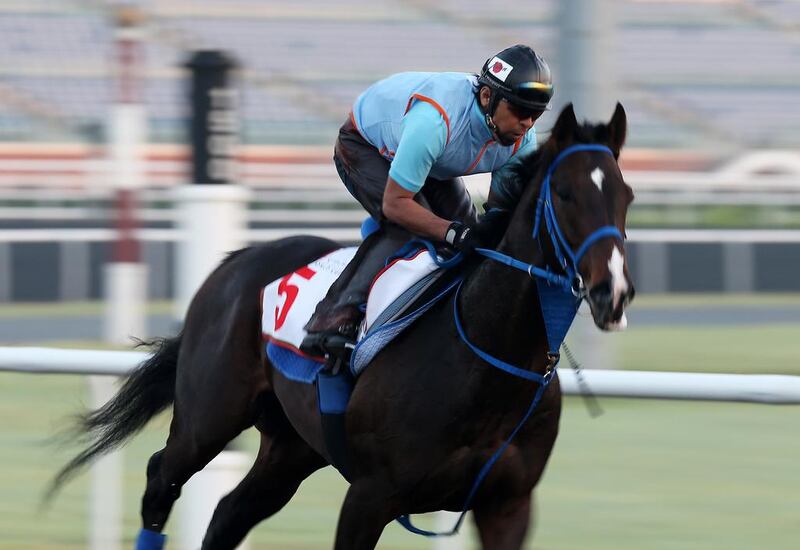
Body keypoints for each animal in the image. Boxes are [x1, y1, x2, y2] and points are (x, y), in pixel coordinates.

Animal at [51, 101, 636, 548]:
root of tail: (234, 261)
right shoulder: (371, 495)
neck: (487, 354)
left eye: (625, 196)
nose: (612, 292)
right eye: (564, 193)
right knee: (161, 479)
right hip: (207, 417)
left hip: (290, 448)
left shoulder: (507, 504)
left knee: (226, 516)